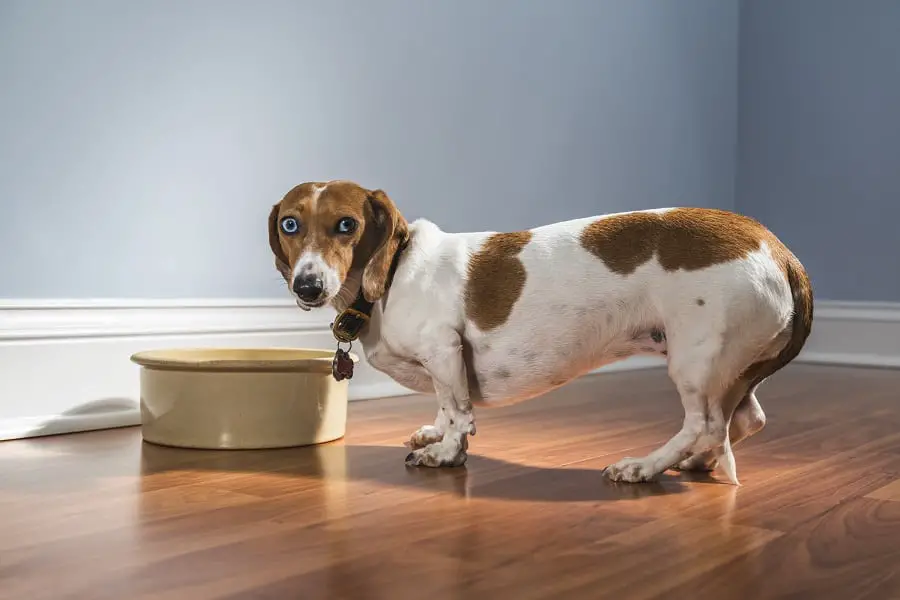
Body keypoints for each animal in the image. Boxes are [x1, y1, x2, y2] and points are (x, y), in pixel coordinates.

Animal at [268, 178, 816, 482]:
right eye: (290, 225)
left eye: (347, 224)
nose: (308, 286)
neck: (393, 271)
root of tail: (780, 251)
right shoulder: (446, 364)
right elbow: (446, 404)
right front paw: (436, 433)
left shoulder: (444, 348)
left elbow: (459, 410)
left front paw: (446, 452)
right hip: (732, 368)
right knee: (741, 422)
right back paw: (700, 463)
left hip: (695, 361)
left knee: (703, 425)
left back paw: (643, 467)